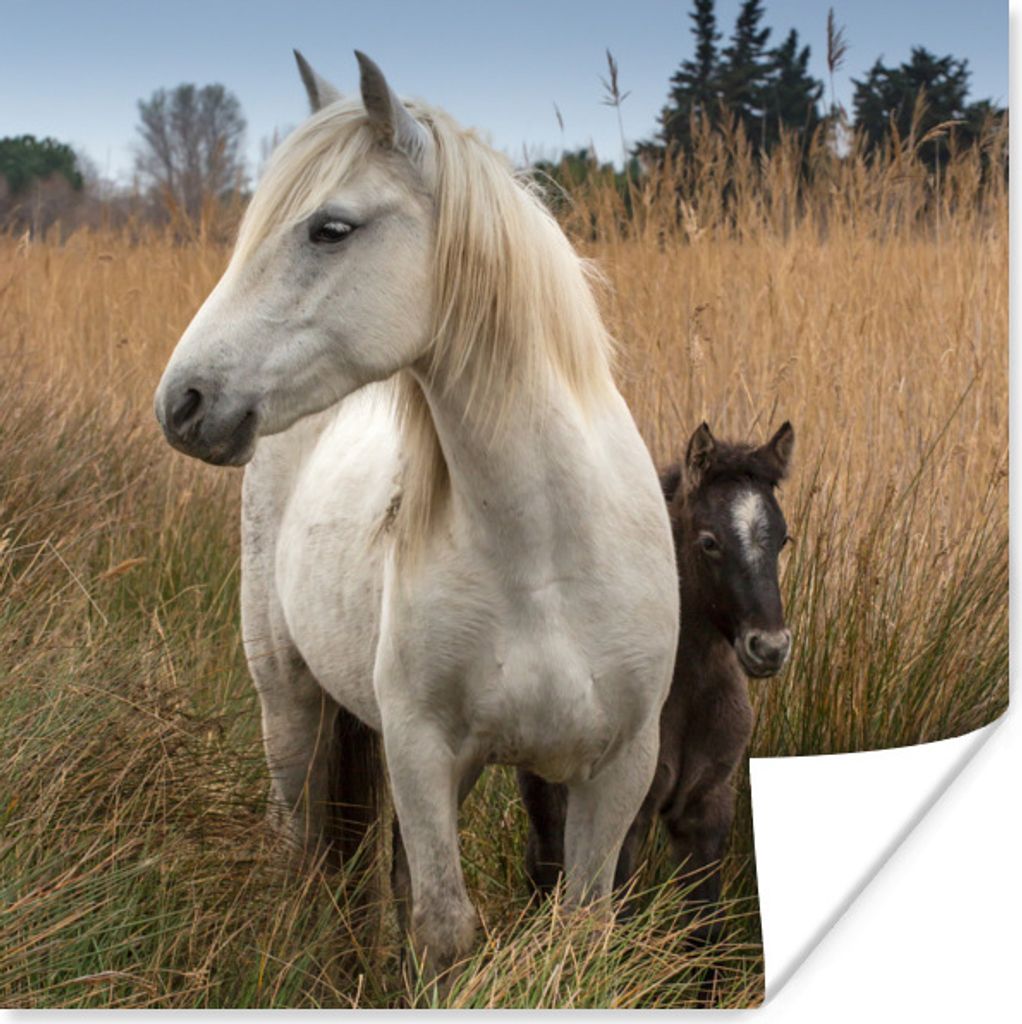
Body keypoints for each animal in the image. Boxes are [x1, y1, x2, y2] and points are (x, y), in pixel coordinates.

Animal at [153, 51, 679, 977]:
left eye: (330, 229)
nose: (183, 402)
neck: (546, 556)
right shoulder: (422, 750)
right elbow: (442, 927)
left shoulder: (618, 767)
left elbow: (578, 928)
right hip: (288, 698)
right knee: (299, 841)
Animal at [519, 421, 794, 944]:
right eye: (709, 542)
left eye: (783, 539)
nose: (769, 648)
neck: (689, 692)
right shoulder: (631, 815)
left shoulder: (706, 809)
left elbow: (704, 932)